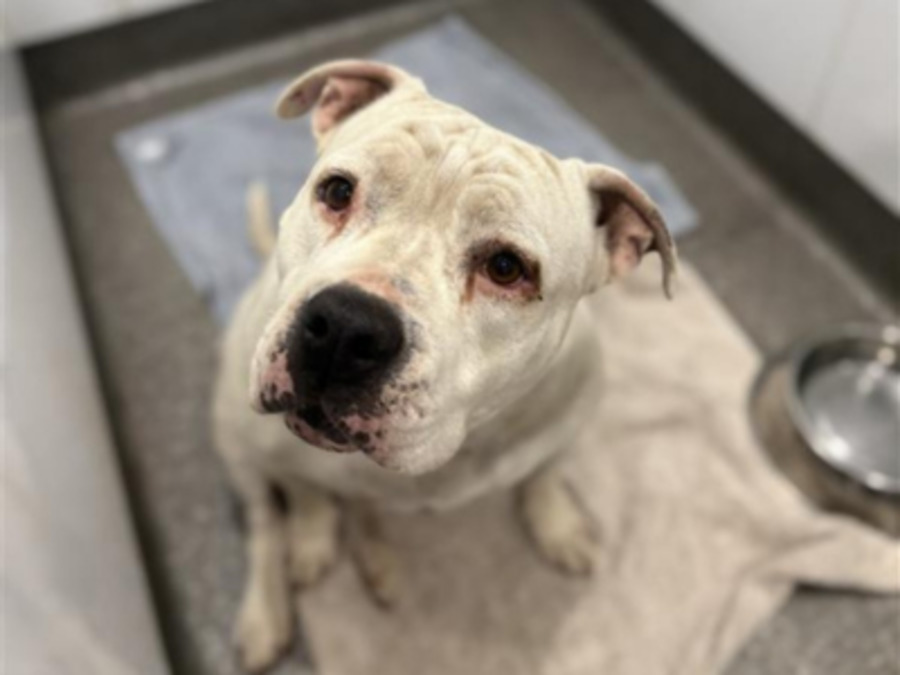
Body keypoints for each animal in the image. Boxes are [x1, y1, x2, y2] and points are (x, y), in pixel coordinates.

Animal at [213, 59, 676, 672]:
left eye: (506, 267)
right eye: (337, 190)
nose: (346, 326)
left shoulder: (573, 414)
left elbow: (545, 472)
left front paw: (557, 524)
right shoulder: (270, 445)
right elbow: (307, 496)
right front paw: (312, 535)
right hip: (234, 437)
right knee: (267, 520)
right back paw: (270, 607)